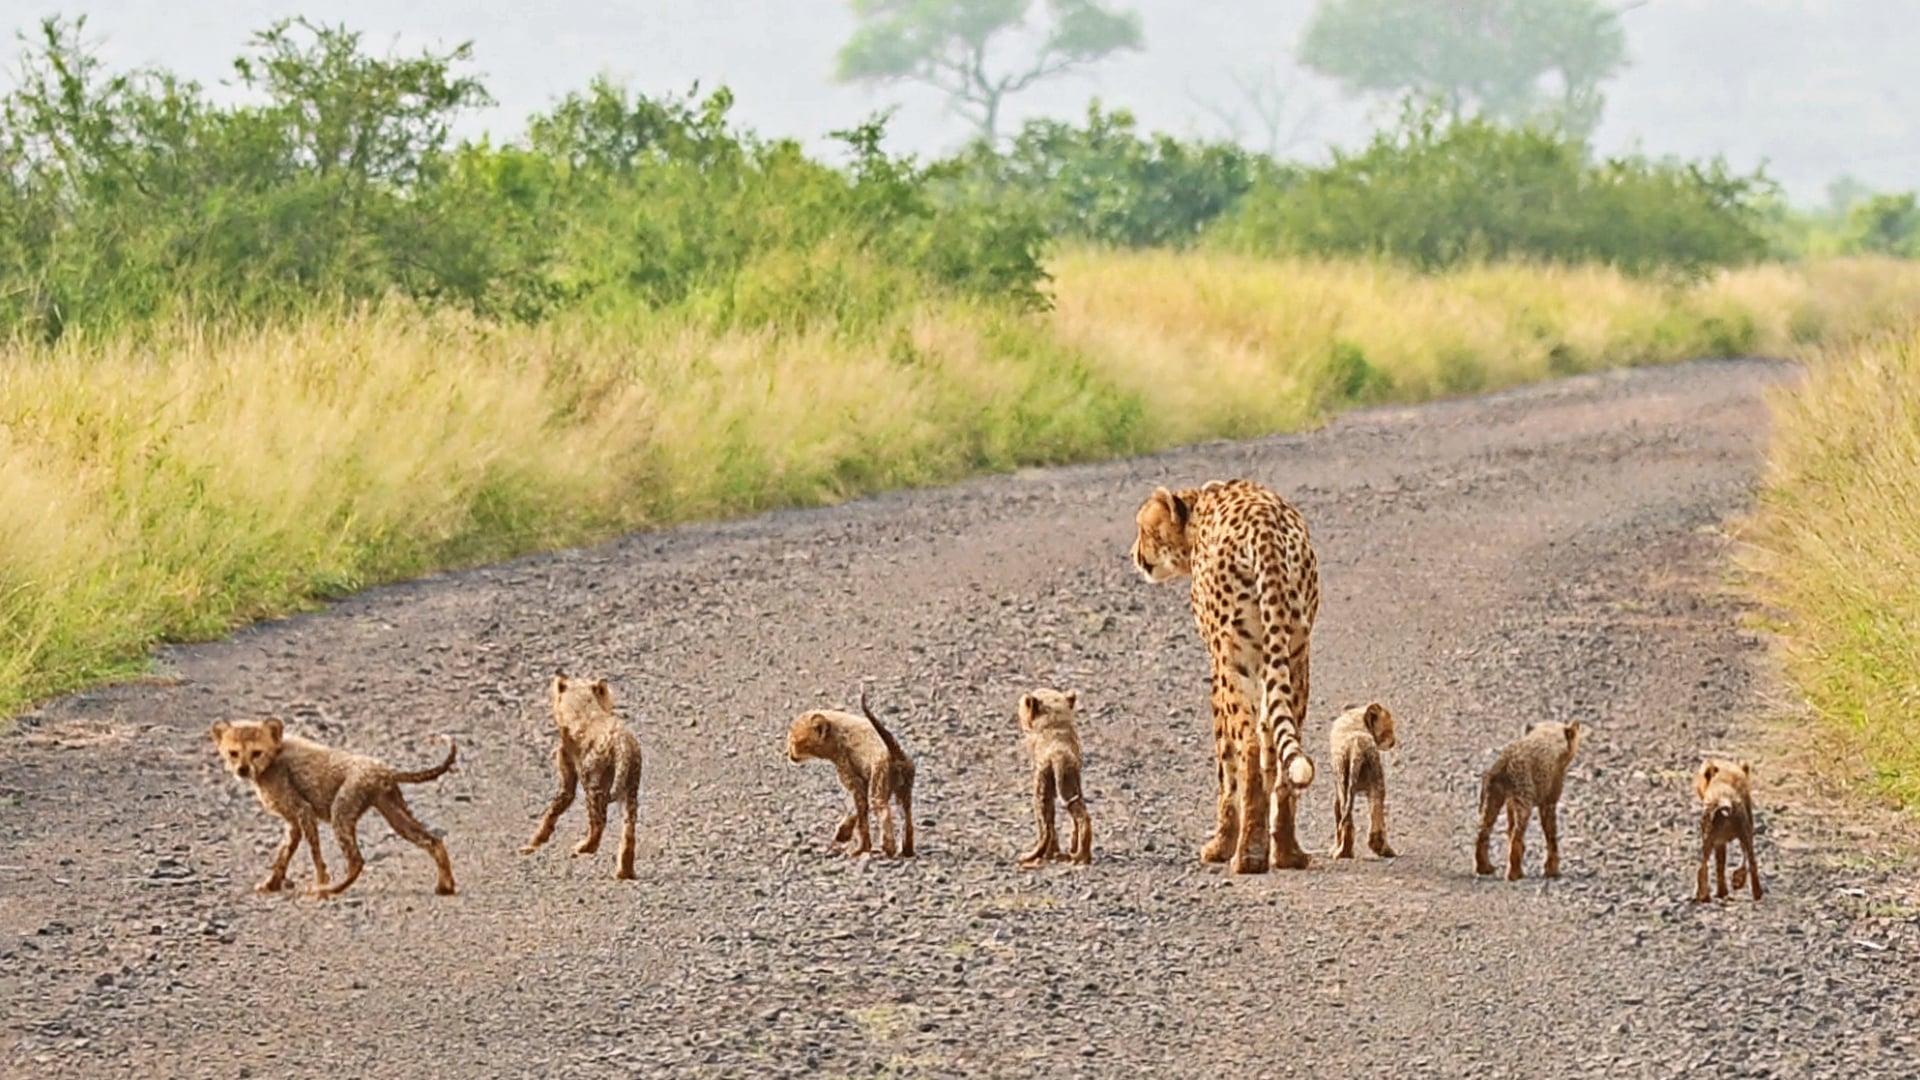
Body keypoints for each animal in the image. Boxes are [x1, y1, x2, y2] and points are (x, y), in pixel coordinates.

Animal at [1131, 477, 1321, 875]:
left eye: (1145, 529)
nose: (1135, 554)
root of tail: (1265, 529)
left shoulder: (1220, 669)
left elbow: (1226, 765)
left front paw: (1220, 845)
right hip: (1295, 656)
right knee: (1279, 748)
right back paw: (1286, 853)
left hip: (1237, 663)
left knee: (1248, 746)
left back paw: (1247, 857)